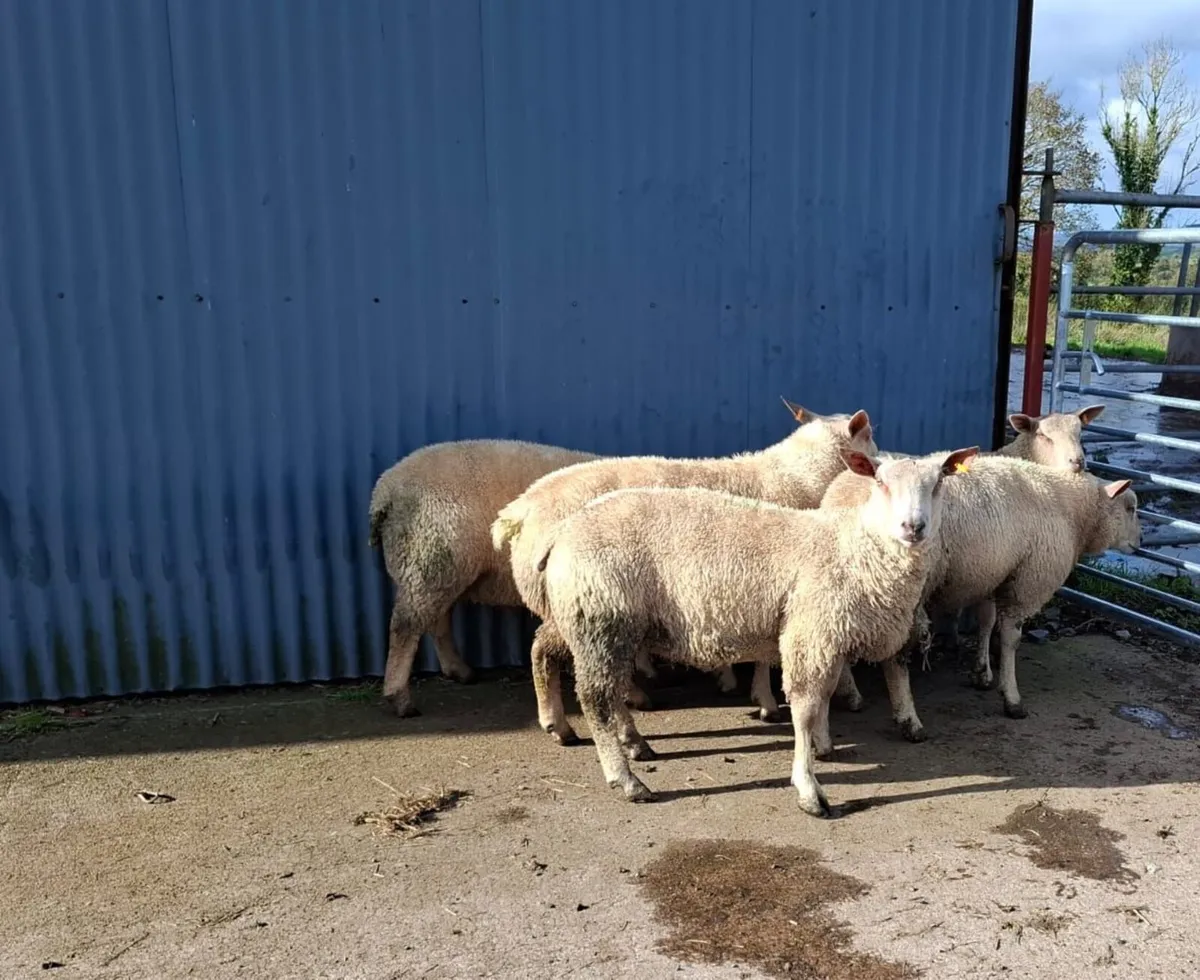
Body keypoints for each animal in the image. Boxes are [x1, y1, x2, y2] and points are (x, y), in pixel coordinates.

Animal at [368, 438, 598, 717]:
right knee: (405, 627)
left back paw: (459, 671)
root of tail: (384, 492)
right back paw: (400, 698)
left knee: (437, 619)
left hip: (441, 568)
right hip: (427, 559)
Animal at [491, 402, 880, 745]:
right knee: (553, 655)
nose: (878, 461)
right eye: (869, 434)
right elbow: (766, 657)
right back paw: (578, 723)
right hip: (585, 601)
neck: (800, 477)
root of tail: (520, 509)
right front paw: (771, 700)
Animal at [538, 447, 978, 815]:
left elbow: (825, 695)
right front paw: (808, 788)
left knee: (562, 662)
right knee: (596, 698)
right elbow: (805, 707)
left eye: (938, 483)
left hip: (586, 618)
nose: (913, 527)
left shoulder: (827, 635)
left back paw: (613, 739)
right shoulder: (811, 630)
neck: (853, 548)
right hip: (602, 617)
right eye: (882, 482)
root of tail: (563, 532)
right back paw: (626, 779)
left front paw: (823, 745)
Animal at [818, 455, 1138, 747]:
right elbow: (1010, 639)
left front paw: (982, 673)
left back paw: (851, 695)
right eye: (1131, 507)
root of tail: (840, 498)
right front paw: (1011, 697)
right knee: (895, 658)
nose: (1140, 542)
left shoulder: (992, 575)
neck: (1073, 510)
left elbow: (986, 622)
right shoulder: (1027, 583)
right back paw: (908, 720)